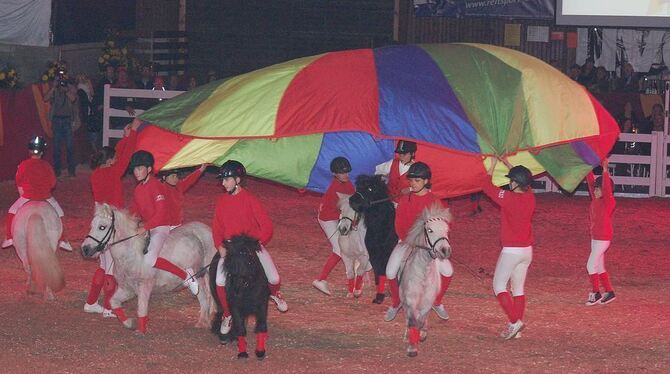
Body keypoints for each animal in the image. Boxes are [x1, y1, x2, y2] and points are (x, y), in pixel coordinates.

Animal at [81, 205, 217, 334]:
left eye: (102, 227)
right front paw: (129, 323)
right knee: (204, 296)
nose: (85, 249)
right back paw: (203, 322)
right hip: (200, 274)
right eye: (92, 225)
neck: (131, 254)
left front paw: (140, 331)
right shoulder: (127, 289)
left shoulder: (145, 285)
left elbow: (141, 308)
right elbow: (113, 302)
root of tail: (207, 229)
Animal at [346, 175, 400, 304]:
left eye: (370, 189)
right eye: (358, 187)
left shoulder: (387, 255)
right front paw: (379, 296)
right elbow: (379, 273)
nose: (352, 201)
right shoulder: (374, 254)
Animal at [400, 203, 452, 358]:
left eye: (446, 230)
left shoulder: (428, 301)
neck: (424, 272)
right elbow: (412, 321)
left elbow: (422, 319)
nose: (445, 250)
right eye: (430, 230)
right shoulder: (411, 299)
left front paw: (422, 334)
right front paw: (412, 348)